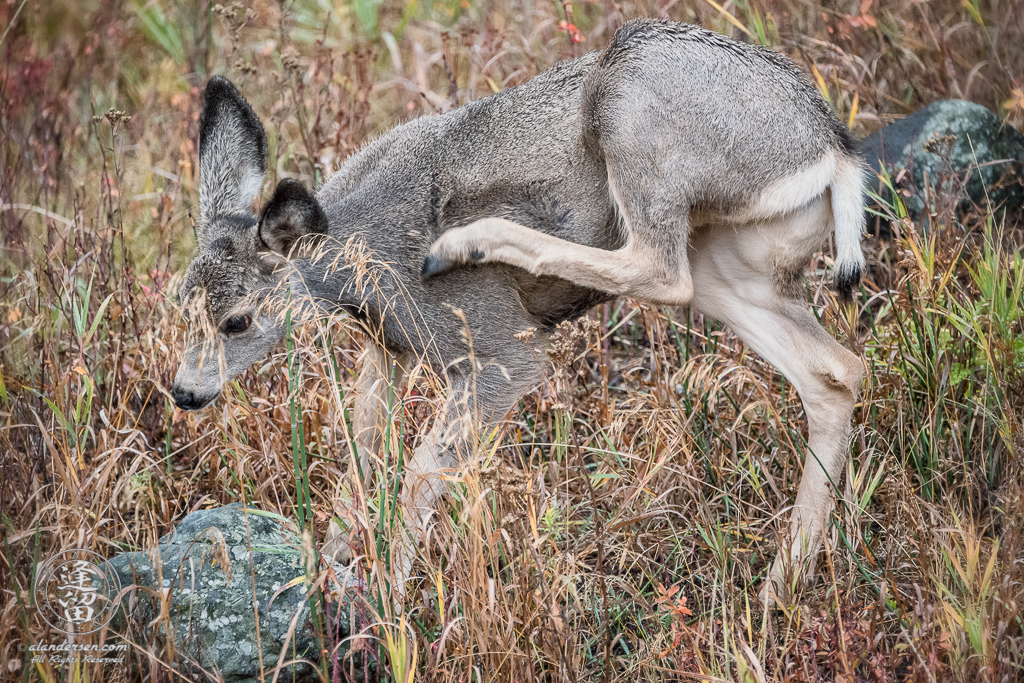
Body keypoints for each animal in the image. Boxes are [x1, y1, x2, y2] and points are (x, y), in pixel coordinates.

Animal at [174, 18, 864, 602]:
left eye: (237, 320)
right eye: (182, 303)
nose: (184, 391)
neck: (360, 258)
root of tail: (835, 150)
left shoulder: (495, 351)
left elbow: (420, 470)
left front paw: (390, 594)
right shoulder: (388, 348)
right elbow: (359, 457)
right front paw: (328, 563)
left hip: (633, 106)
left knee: (661, 269)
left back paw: (467, 242)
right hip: (733, 262)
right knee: (834, 371)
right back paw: (780, 587)